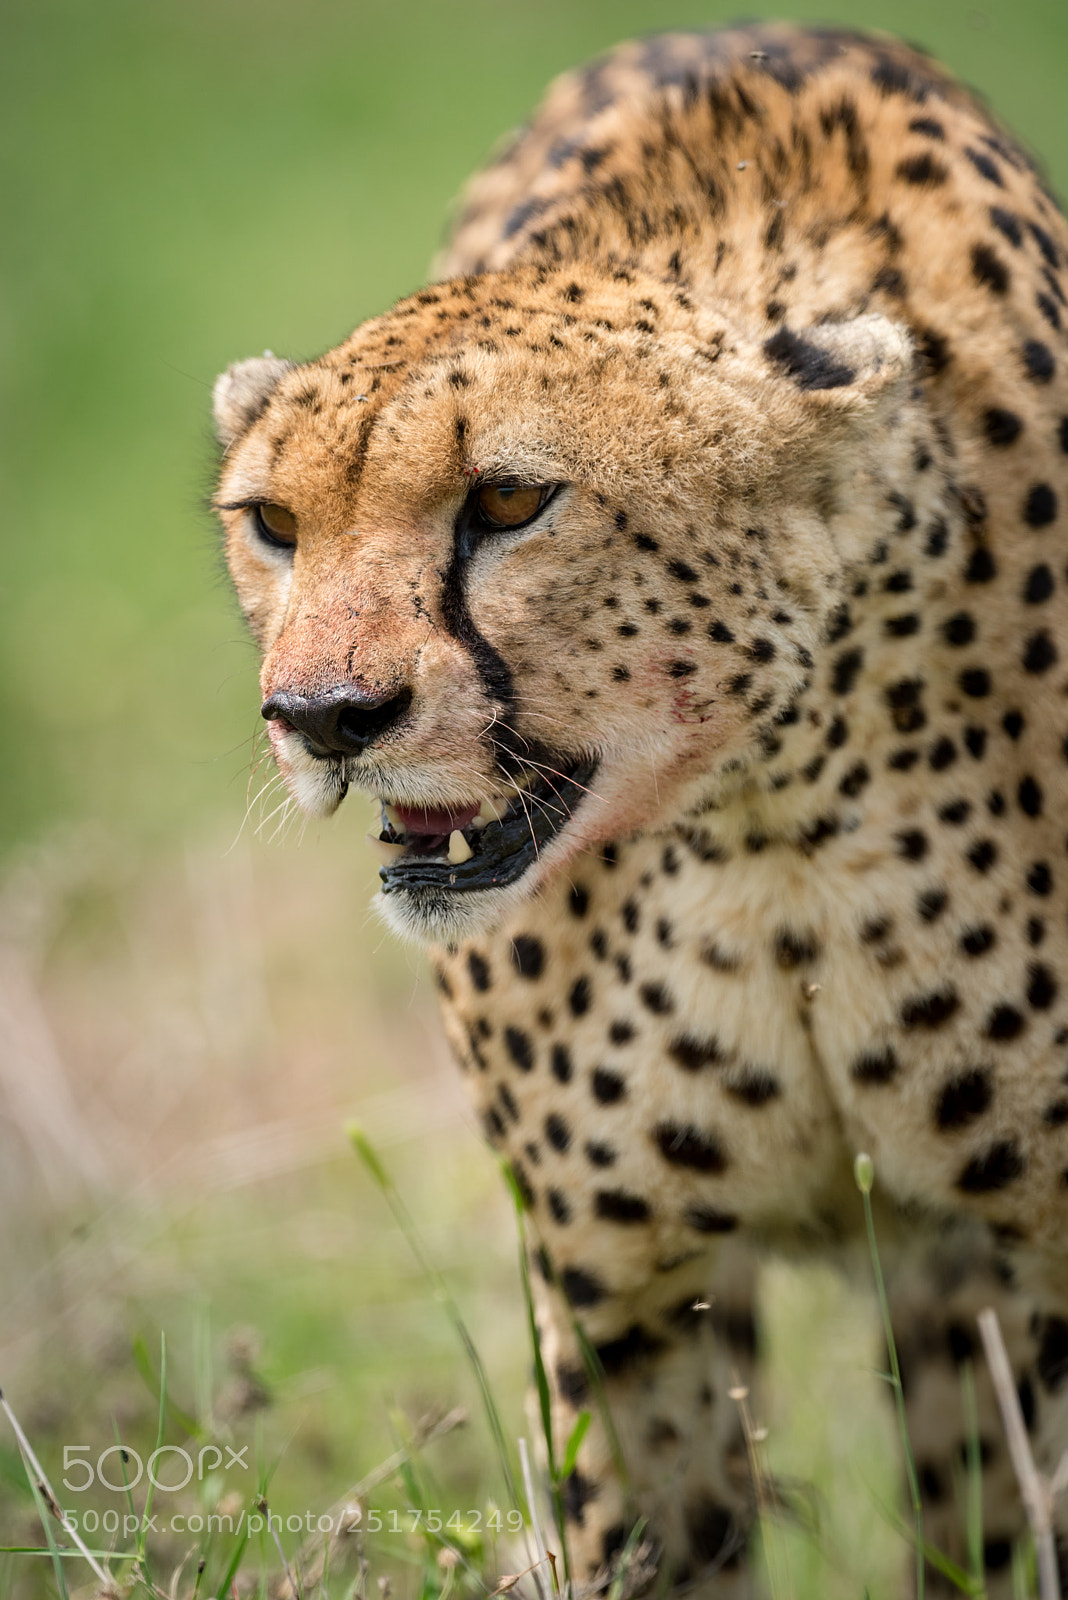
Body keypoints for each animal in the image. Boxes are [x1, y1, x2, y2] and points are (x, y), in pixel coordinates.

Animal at [212, 24, 1068, 1595]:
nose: (324, 718)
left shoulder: (1034, 1255)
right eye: (274, 525)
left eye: (507, 500)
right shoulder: (623, 1295)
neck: (774, 806)